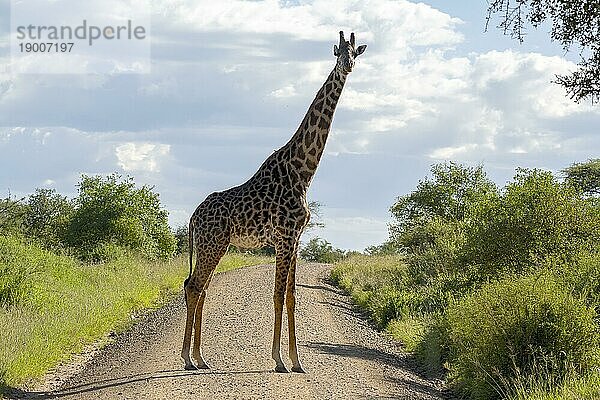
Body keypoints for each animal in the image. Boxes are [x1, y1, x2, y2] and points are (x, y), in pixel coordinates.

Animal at [183, 30, 368, 372]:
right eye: (338, 52)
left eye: (355, 53)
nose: (347, 66)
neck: (303, 171)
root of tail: (193, 217)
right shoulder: (284, 237)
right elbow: (277, 295)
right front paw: (279, 359)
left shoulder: (295, 238)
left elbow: (292, 296)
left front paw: (297, 361)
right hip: (212, 243)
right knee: (194, 286)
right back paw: (187, 358)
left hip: (214, 245)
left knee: (201, 288)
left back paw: (201, 358)